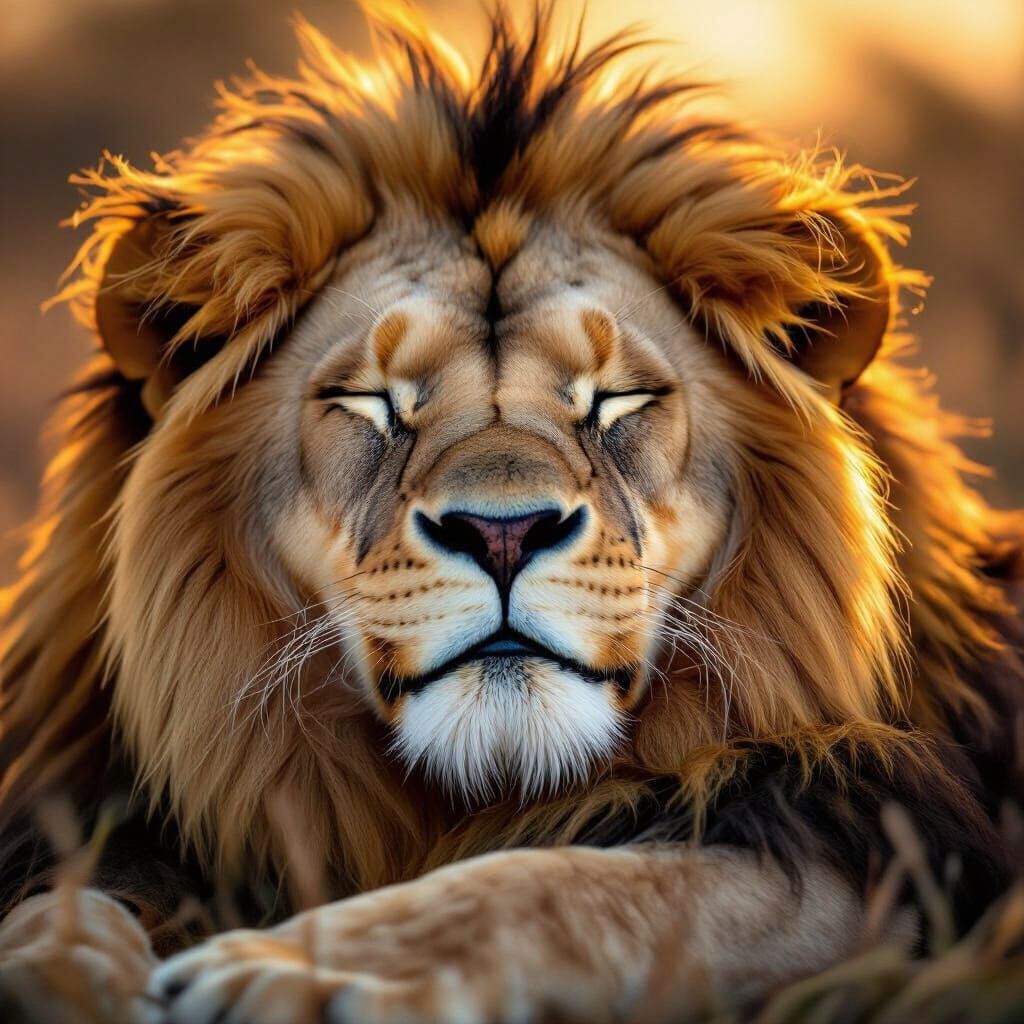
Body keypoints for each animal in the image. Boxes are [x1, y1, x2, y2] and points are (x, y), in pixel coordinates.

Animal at [0, 4, 1021, 1022]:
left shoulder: (875, 845)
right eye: (372, 403)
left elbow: (573, 887)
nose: (502, 533)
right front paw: (61, 959)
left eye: (616, 400)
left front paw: (298, 972)